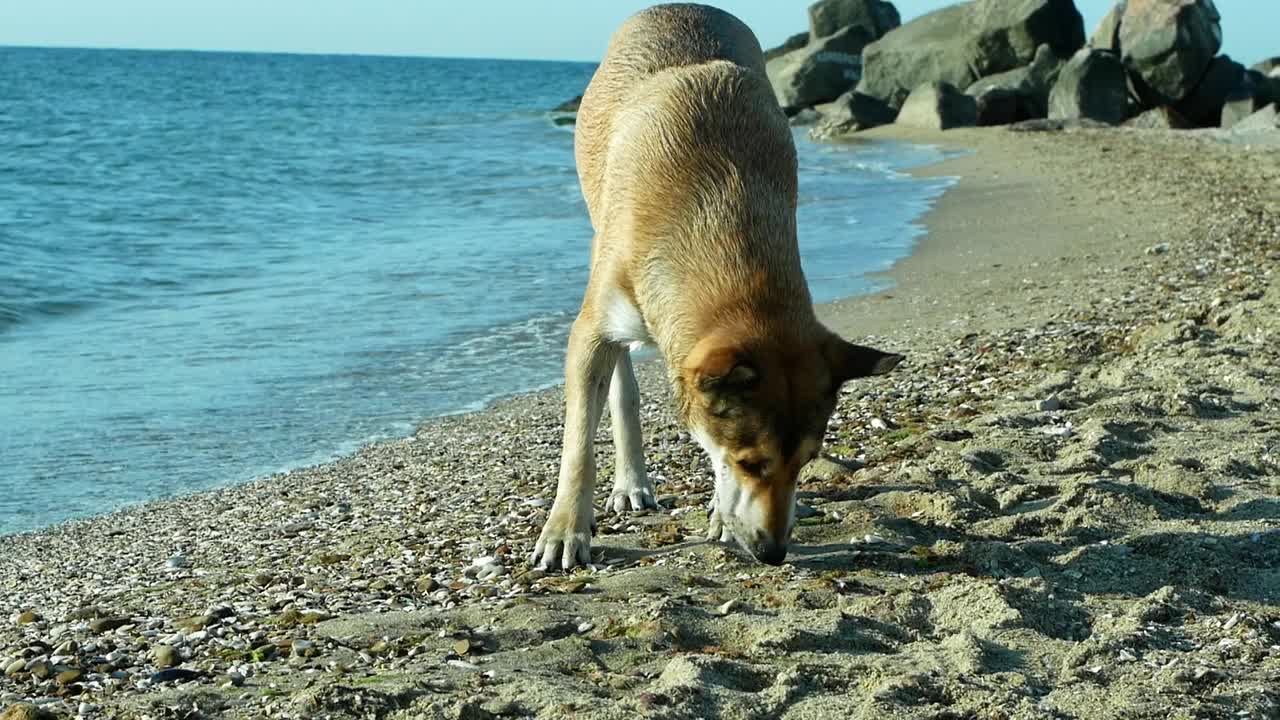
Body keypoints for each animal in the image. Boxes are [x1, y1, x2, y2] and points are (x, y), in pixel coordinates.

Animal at [529, 2, 901, 568]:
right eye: (751, 462)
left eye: (808, 461)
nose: (774, 553)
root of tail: (681, 8)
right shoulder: (591, 332)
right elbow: (578, 446)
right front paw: (566, 528)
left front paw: (723, 516)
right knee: (621, 388)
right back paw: (631, 482)